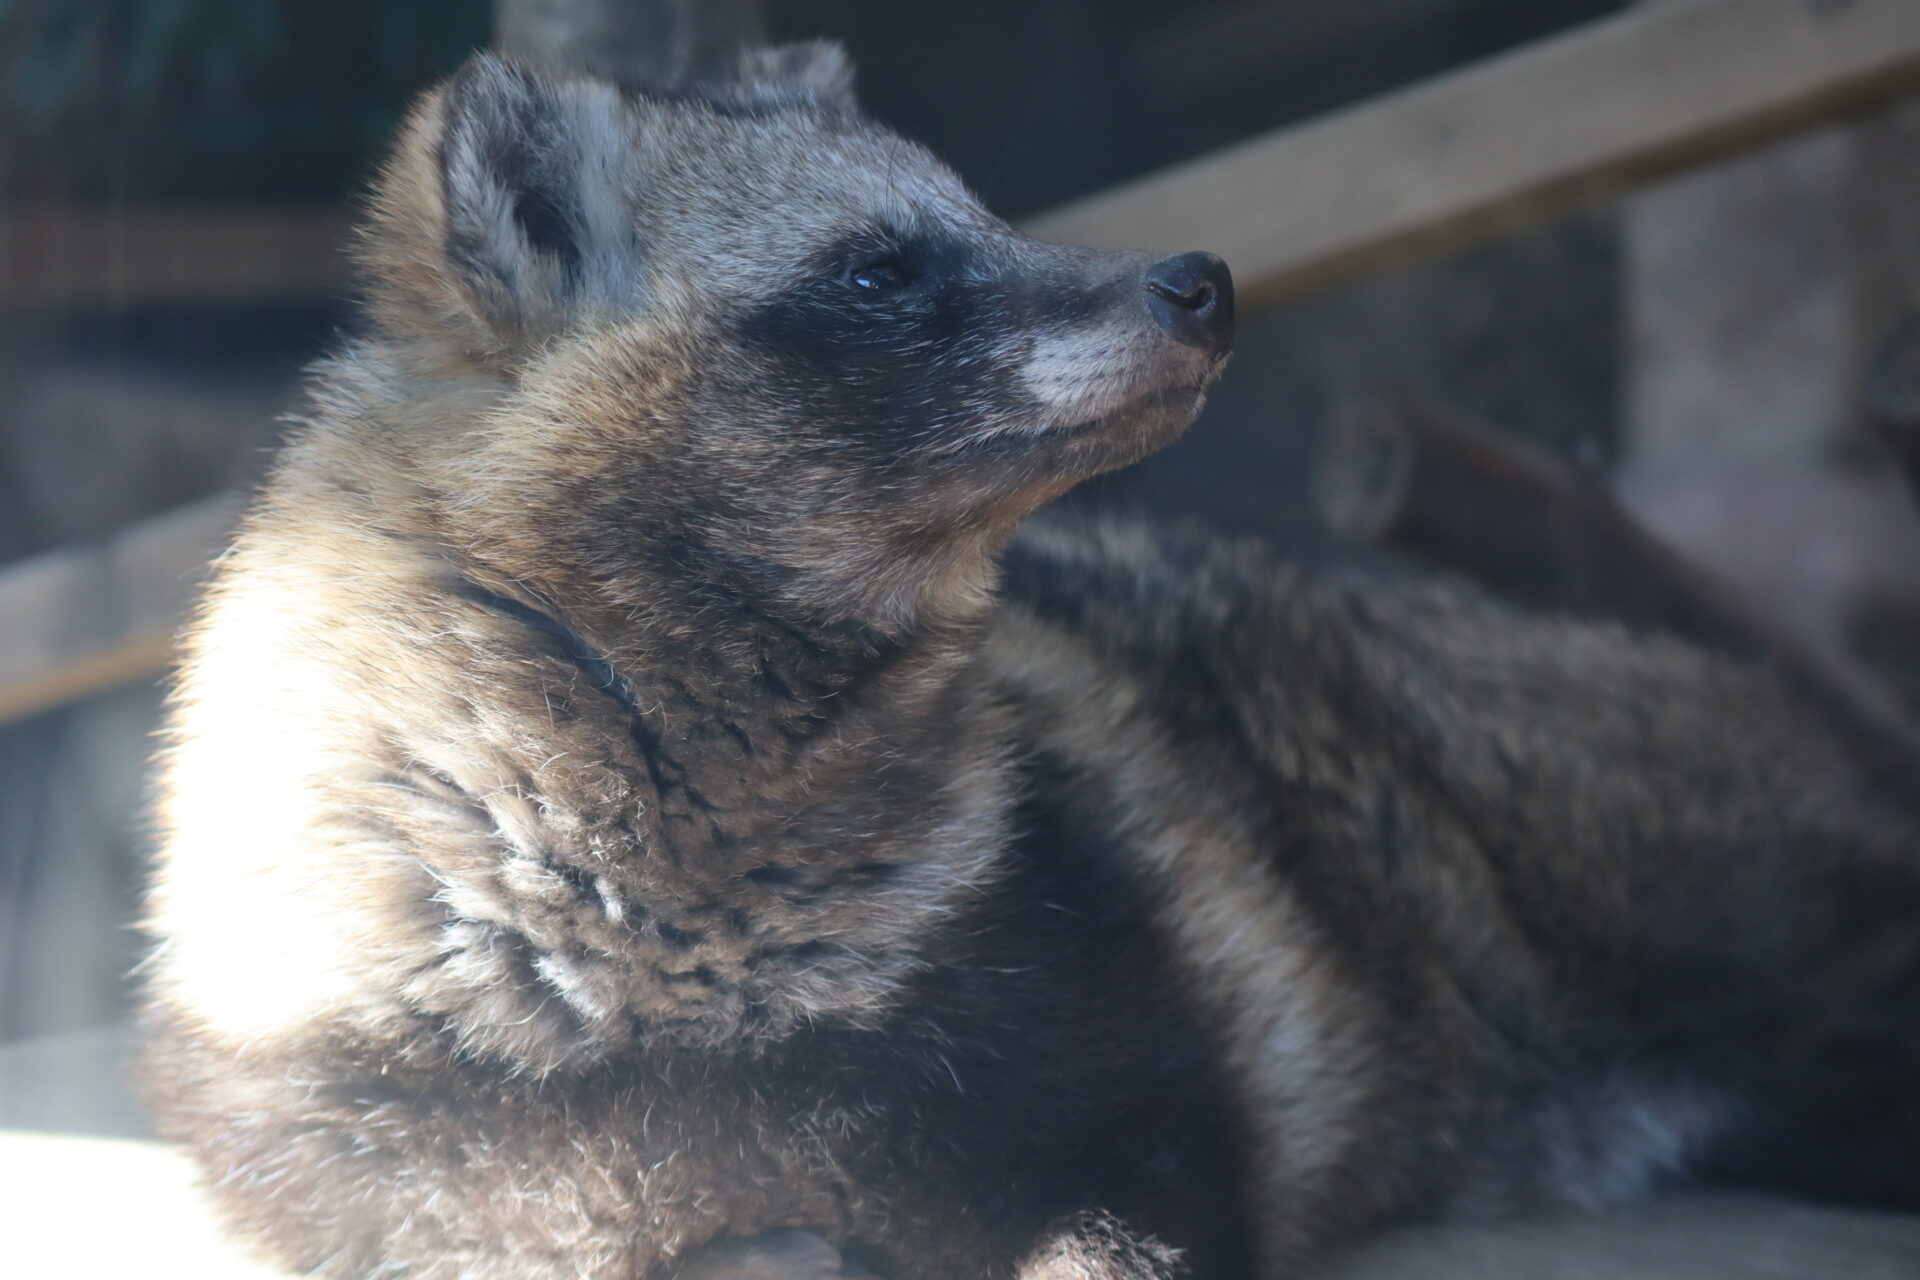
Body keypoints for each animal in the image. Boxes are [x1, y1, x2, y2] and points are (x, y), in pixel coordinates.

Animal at [142, 40, 1920, 1280]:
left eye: (982, 211)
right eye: (880, 266)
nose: (1200, 282)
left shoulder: (1111, 993)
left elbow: (1142, 1192)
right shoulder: (355, 1117)